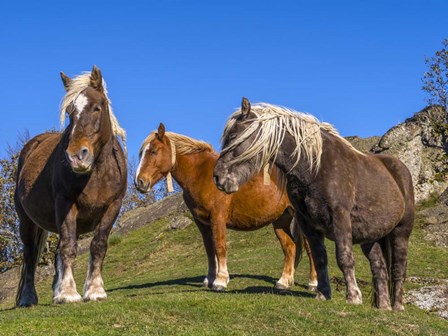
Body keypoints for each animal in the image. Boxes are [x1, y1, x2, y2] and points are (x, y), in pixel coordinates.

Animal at [14, 66, 127, 308]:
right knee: (30, 255)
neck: (97, 172)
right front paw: (68, 293)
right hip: (26, 221)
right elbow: (68, 247)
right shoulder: (66, 204)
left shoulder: (113, 206)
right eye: (69, 112)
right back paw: (28, 298)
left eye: (97, 107)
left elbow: (98, 245)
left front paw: (94, 290)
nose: (76, 156)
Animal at [135, 123, 316, 292]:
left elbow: (220, 246)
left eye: (153, 151)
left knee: (309, 247)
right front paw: (209, 279)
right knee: (290, 247)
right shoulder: (202, 222)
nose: (140, 183)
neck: (202, 175)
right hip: (281, 220)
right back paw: (283, 282)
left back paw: (313, 283)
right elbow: (209, 249)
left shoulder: (218, 218)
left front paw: (220, 281)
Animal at [215, 96, 414, 310]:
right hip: (370, 238)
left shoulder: (340, 218)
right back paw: (383, 307)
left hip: (401, 232)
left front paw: (353, 297)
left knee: (398, 269)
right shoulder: (307, 223)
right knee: (379, 268)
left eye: (233, 135)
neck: (314, 168)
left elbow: (344, 258)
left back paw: (397, 307)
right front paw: (323, 294)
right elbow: (320, 259)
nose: (217, 177)